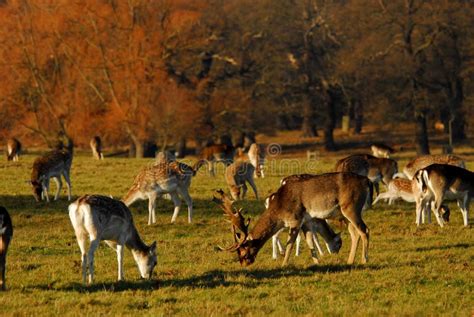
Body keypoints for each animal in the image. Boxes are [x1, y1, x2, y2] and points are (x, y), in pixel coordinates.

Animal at [213, 172, 372, 266]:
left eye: (244, 251)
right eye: (238, 253)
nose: (244, 264)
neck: (280, 207)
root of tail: (366, 181)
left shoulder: (296, 219)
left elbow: (290, 244)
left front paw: (284, 264)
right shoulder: (307, 221)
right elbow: (309, 242)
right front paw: (317, 263)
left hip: (351, 207)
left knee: (364, 230)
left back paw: (364, 260)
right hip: (345, 212)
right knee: (354, 232)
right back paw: (350, 261)